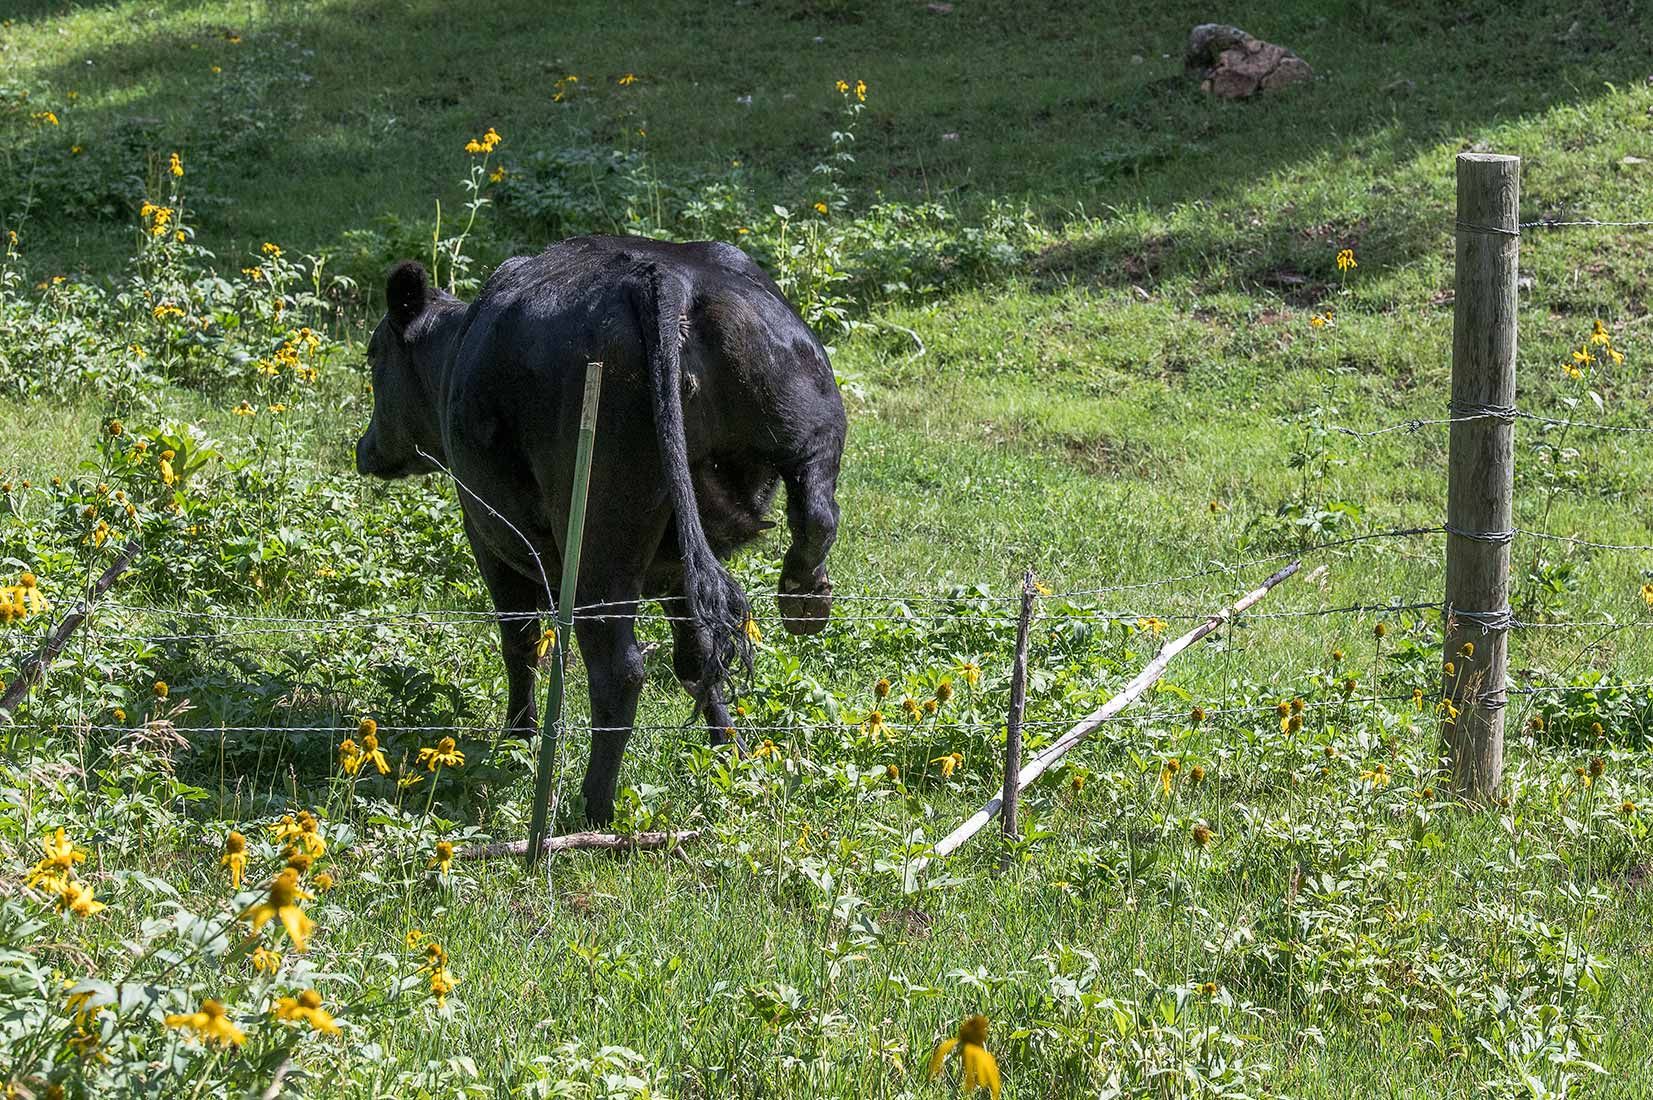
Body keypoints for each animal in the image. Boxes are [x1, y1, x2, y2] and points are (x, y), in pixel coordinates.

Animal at [355, 236, 846, 824]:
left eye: (373, 354)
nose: (364, 448)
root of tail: (660, 276)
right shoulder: (674, 566)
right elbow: (697, 654)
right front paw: (728, 750)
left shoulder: (488, 534)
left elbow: (520, 642)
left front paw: (518, 739)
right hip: (808, 420)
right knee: (815, 513)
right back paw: (802, 600)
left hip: (597, 541)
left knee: (619, 670)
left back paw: (594, 808)